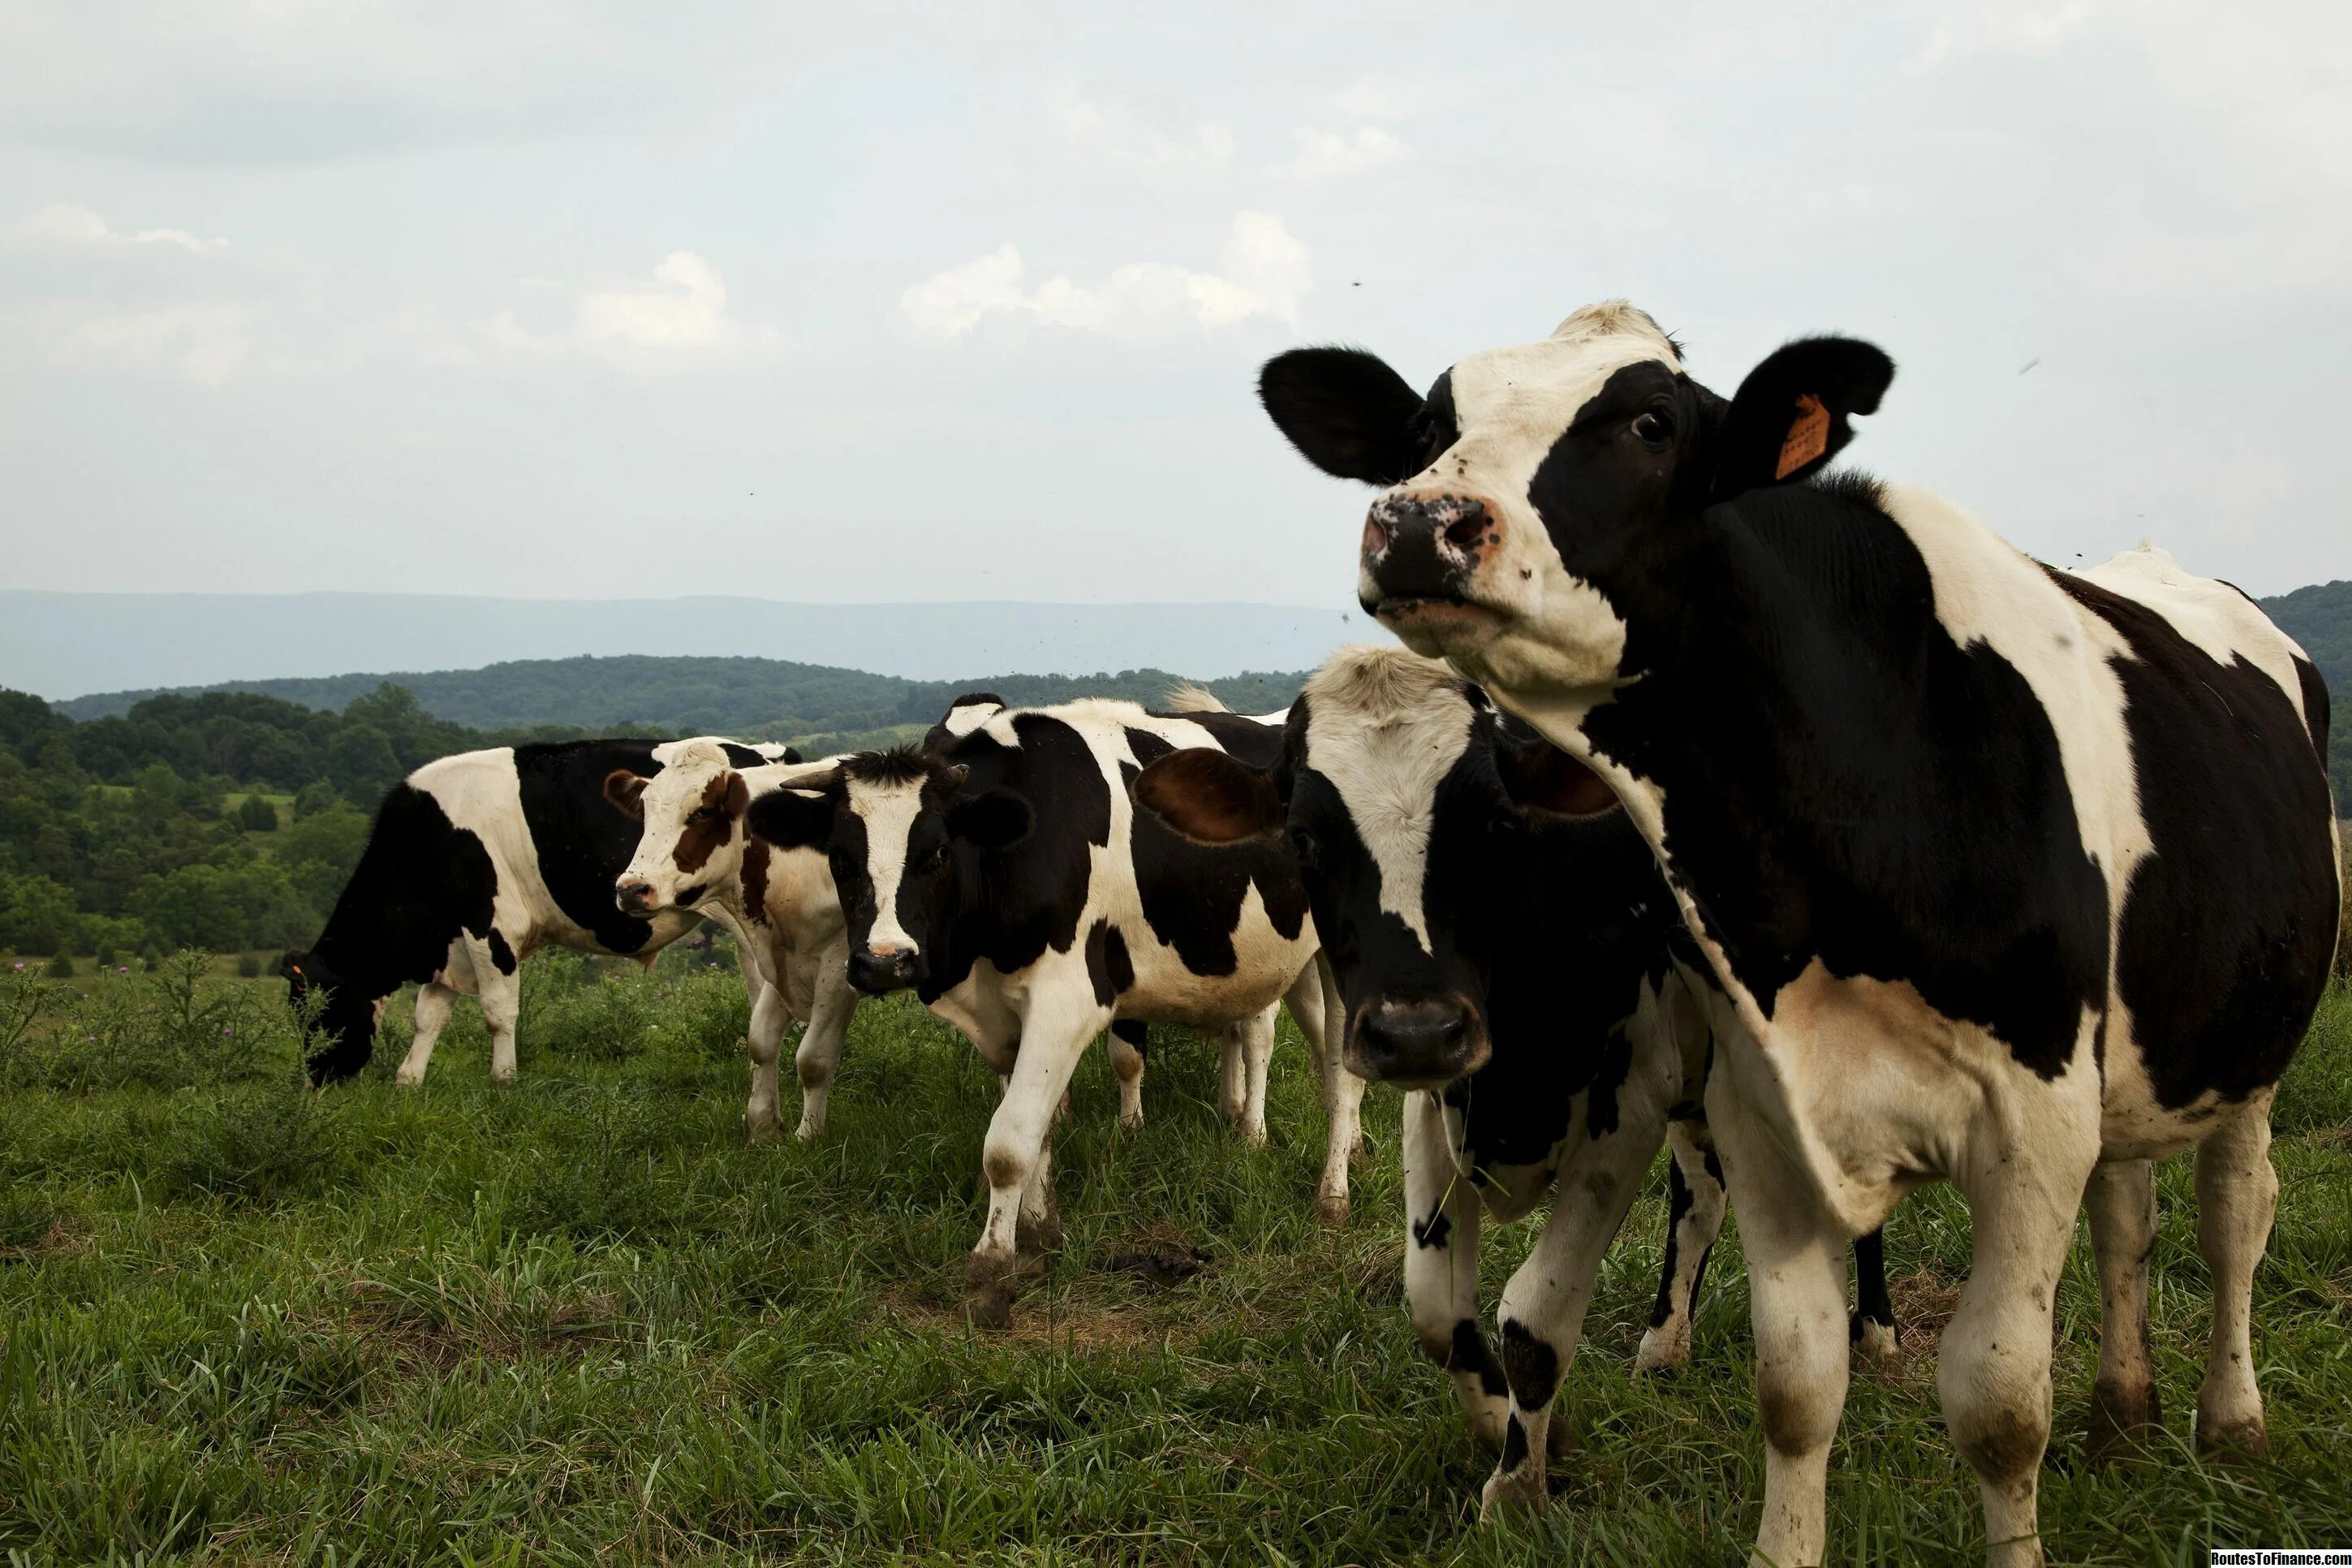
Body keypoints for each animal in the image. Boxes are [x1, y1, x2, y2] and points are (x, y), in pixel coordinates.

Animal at [282, 738, 799, 1086]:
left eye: (315, 1015)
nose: (312, 1081)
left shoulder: (489, 927)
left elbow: (497, 1011)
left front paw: (504, 1081)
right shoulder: (451, 942)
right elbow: (429, 1014)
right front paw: (410, 1080)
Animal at [606, 747, 865, 1142]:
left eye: (701, 812)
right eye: (646, 812)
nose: (632, 889)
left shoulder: (838, 962)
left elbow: (813, 1059)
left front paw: (808, 1137)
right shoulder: (776, 957)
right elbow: (760, 1041)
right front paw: (763, 1127)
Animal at [743, 700, 1373, 1325]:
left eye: (938, 853)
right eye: (840, 860)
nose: (884, 962)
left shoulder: (1066, 1002)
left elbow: (1007, 1142)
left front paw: (992, 1271)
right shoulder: (1004, 1016)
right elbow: (1038, 1128)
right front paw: (1039, 1232)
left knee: (1343, 1072)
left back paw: (1332, 1196)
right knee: (1326, 1051)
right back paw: (1354, 1149)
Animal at [1133, 644, 1890, 1467]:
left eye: (1494, 823)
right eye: (1302, 837)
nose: (1416, 1030)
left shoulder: (1627, 1102)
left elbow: (1534, 1319)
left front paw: (1524, 1469)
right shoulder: (1440, 1100)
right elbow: (1436, 1311)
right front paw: (1507, 1426)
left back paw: (1874, 1329)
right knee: (1700, 1197)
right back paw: (1664, 1347)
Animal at [1251, 300, 2333, 1561]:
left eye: (1650, 421)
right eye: (1430, 423)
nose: (1420, 522)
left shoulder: (2029, 1122)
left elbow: (2000, 1401)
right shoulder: (1758, 1106)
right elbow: (1792, 1380)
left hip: (2243, 1046)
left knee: (2231, 1219)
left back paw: (2230, 1416)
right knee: (2125, 1219)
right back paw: (2119, 1410)